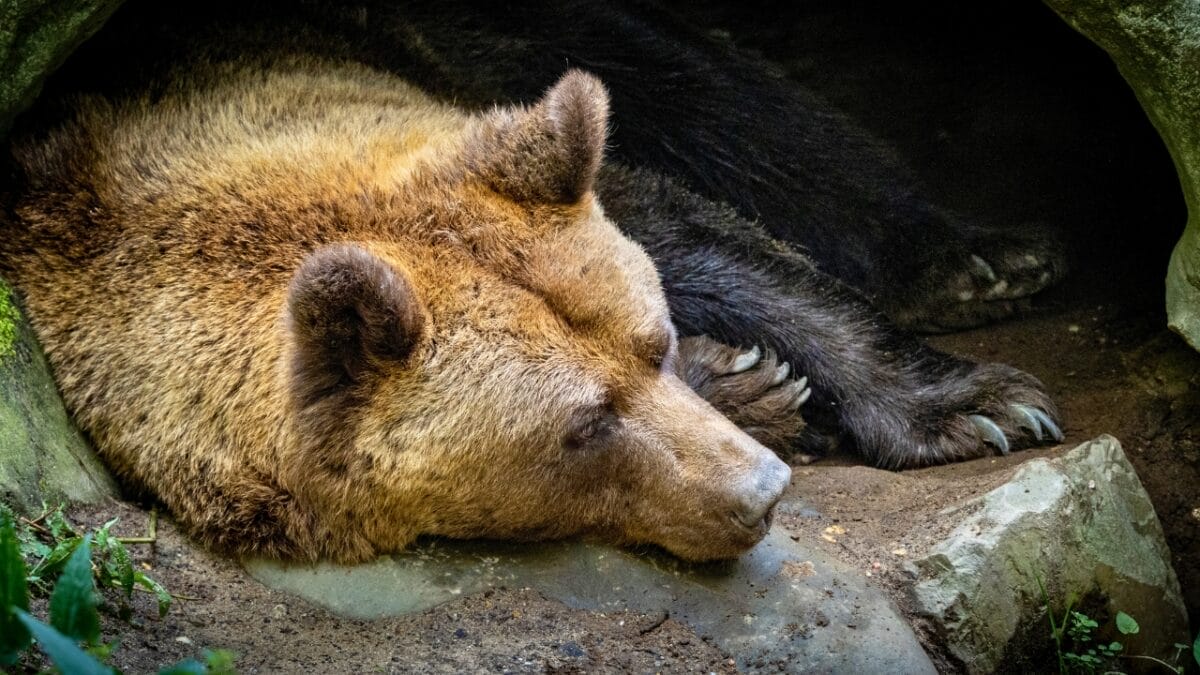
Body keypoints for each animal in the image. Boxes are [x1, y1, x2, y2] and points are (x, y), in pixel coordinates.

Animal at [0, 0, 1063, 561]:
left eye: (655, 339)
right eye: (581, 429)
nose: (764, 490)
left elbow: (711, 238)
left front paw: (974, 403)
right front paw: (755, 384)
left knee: (743, 111)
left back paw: (976, 260)